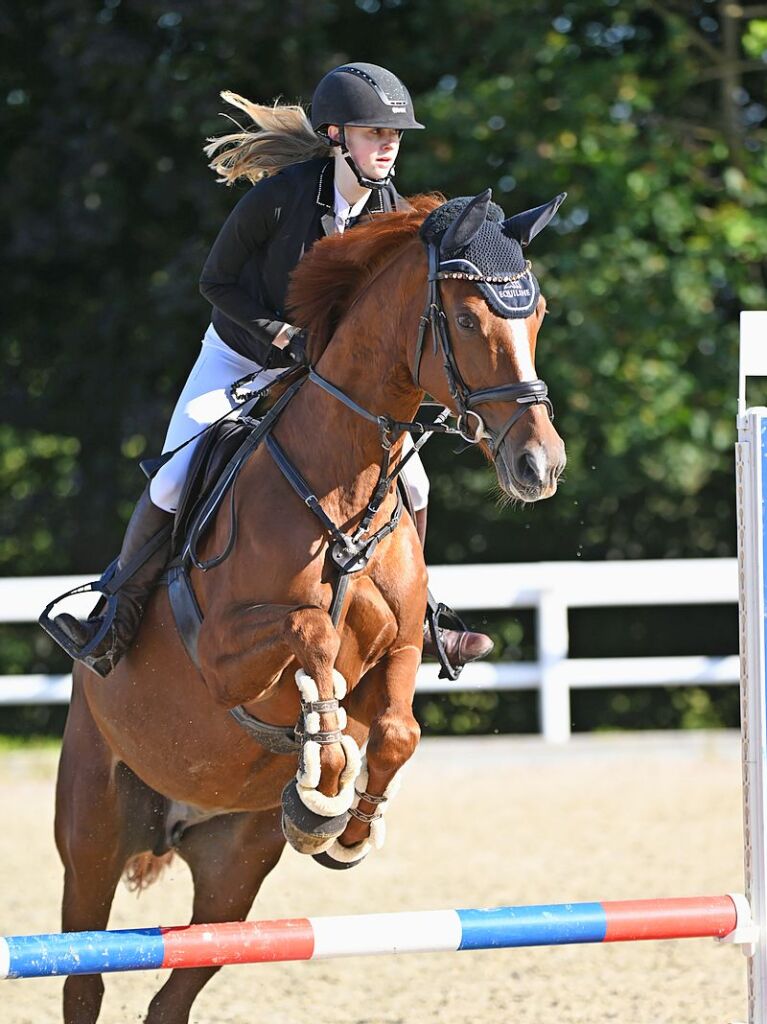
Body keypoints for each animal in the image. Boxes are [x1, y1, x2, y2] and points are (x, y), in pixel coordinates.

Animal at [55, 188, 561, 1019]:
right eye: (463, 320)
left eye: (538, 313)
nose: (538, 465)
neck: (343, 482)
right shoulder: (222, 660)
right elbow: (312, 634)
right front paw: (320, 781)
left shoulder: (402, 648)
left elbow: (395, 729)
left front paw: (346, 824)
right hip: (93, 835)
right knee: (83, 977)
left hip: (233, 875)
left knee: (173, 994)